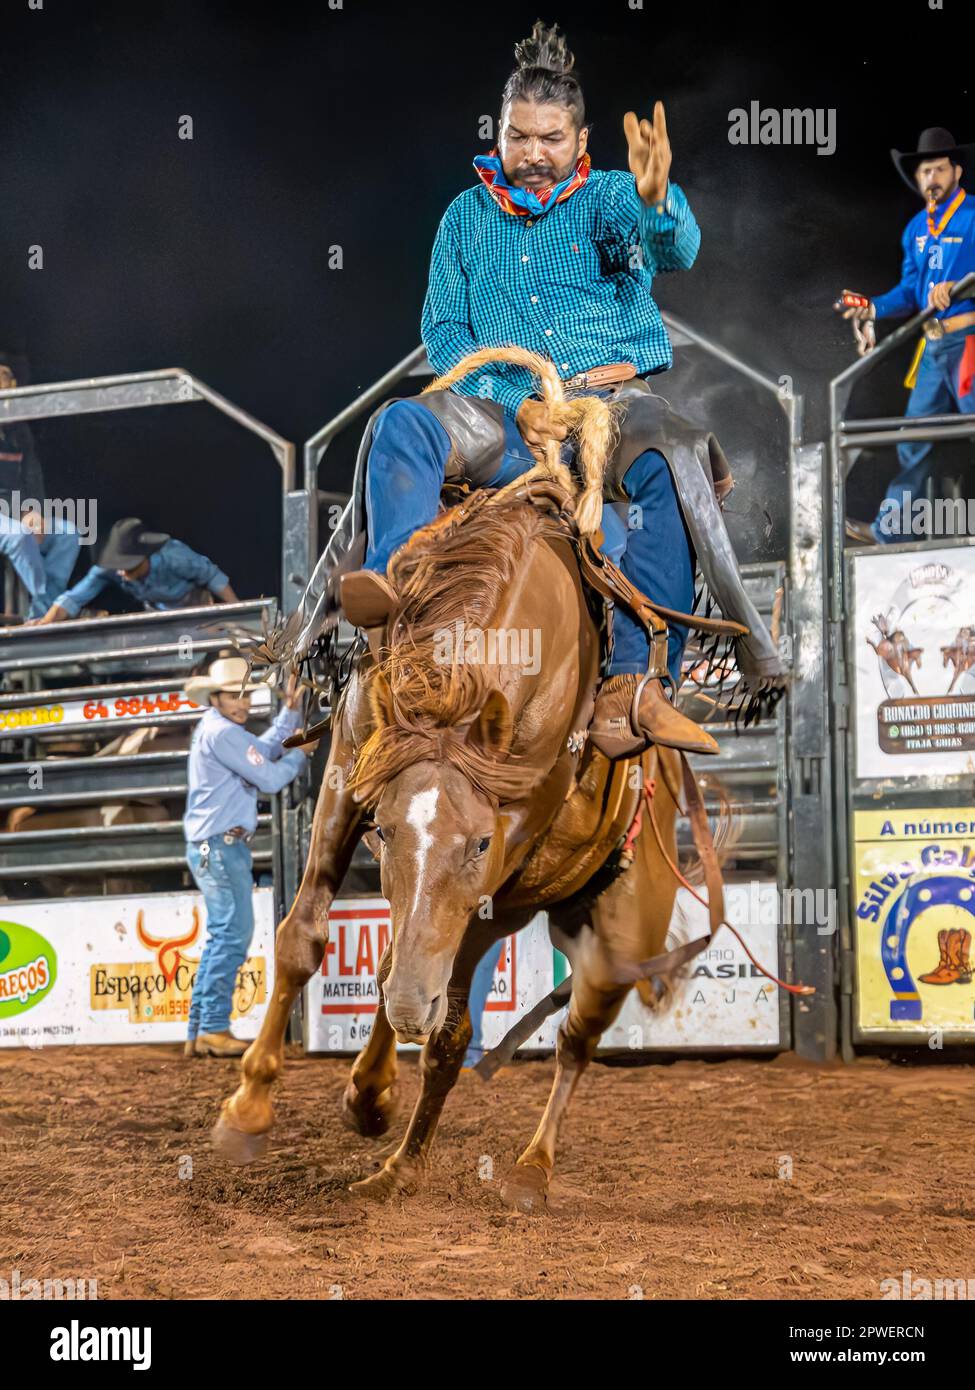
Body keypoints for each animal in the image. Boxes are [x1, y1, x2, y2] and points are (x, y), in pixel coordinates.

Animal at [212, 480, 684, 1217]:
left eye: (482, 839)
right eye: (381, 830)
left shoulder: (510, 843)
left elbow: (443, 1009)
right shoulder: (350, 771)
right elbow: (303, 941)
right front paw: (249, 1109)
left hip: (619, 941)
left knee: (571, 1041)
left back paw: (525, 1168)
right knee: (416, 984)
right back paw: (381, 1114)